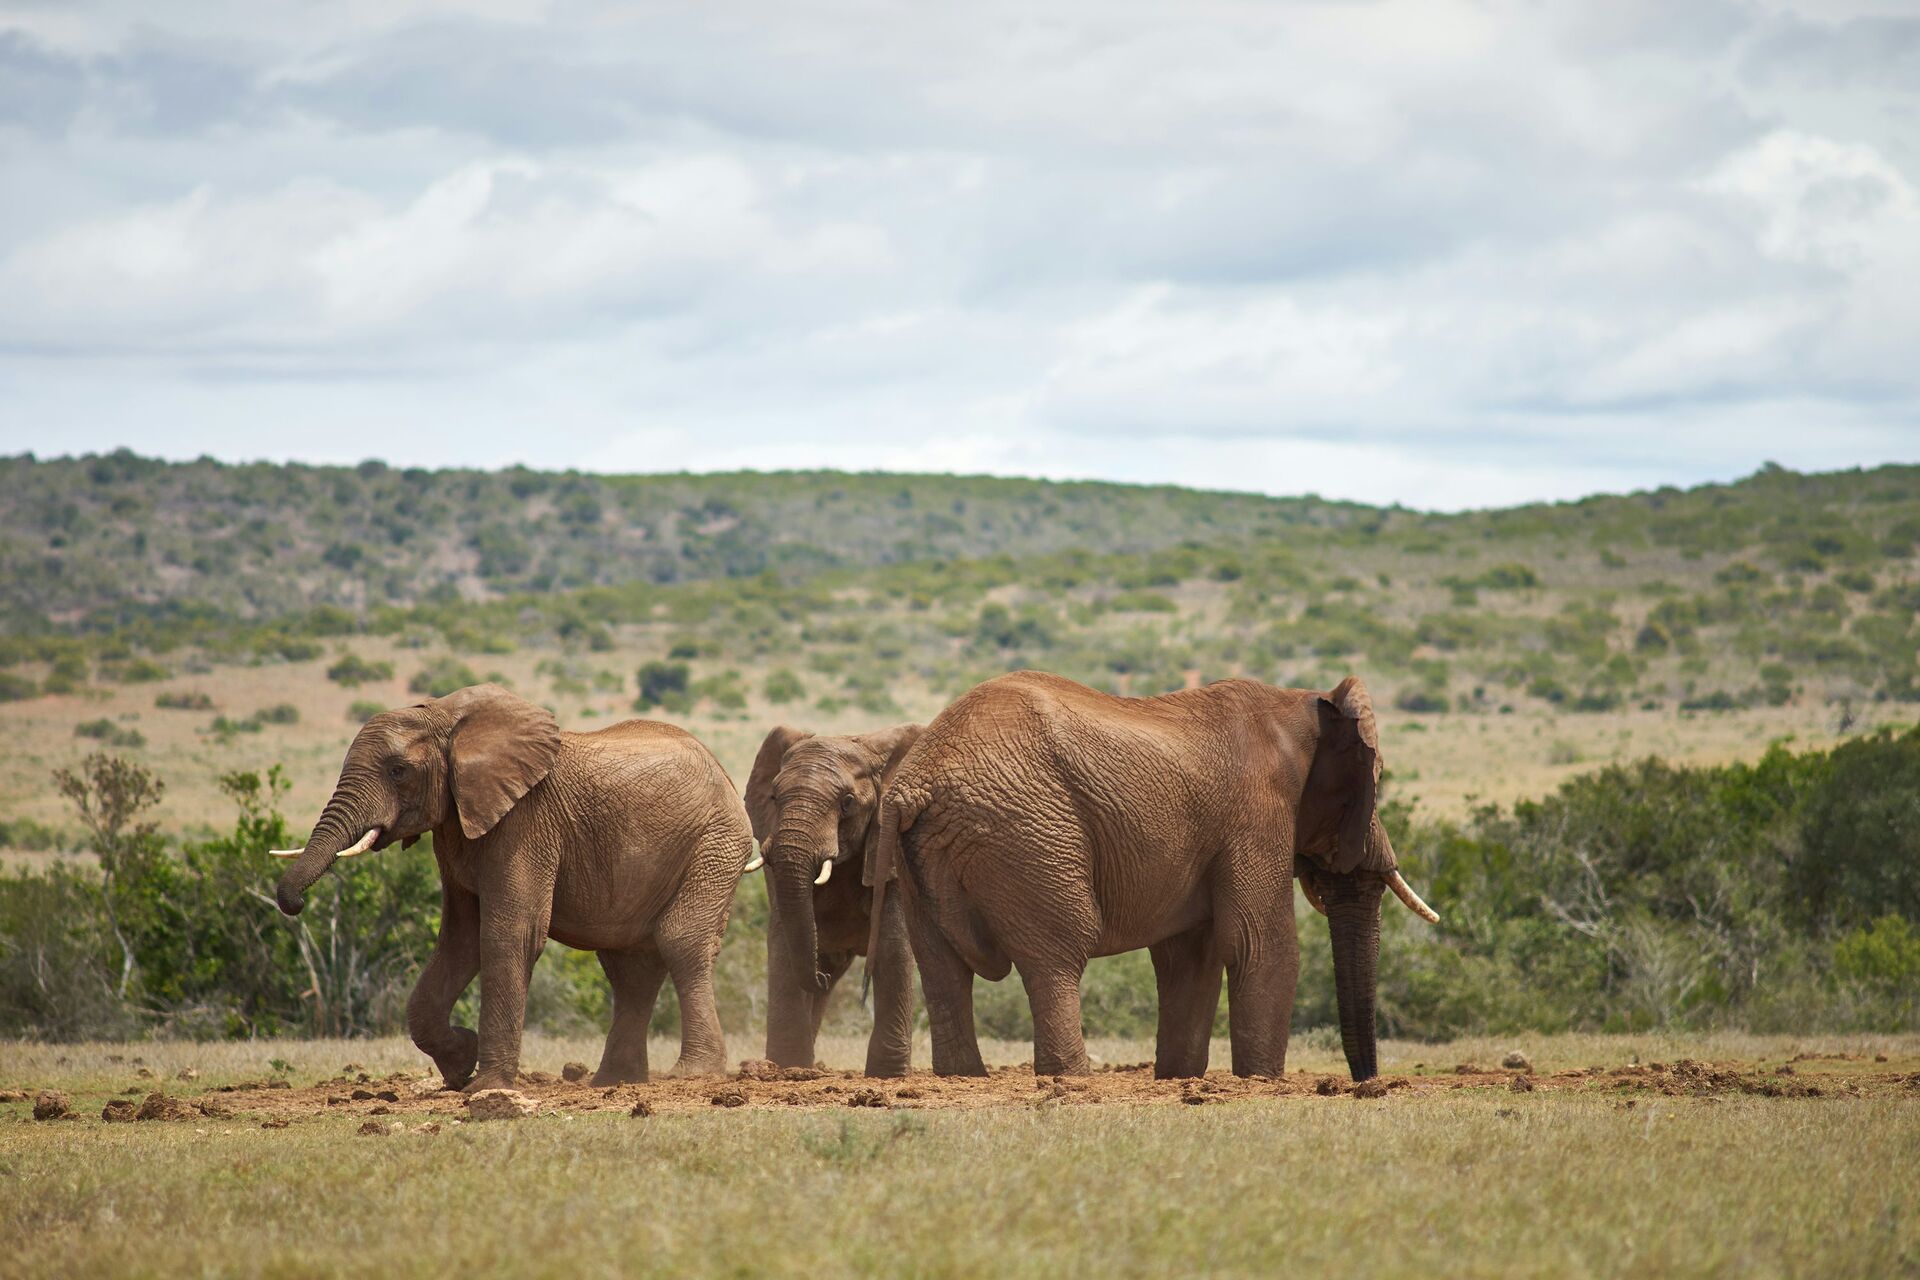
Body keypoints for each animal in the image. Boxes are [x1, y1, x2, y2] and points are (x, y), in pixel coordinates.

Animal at [270, 684, 753, 1092]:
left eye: (398, 771)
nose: (294, 903)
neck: (447, 717)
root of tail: (722, 769)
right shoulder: (457, 827)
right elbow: (459, 941)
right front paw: (460, 1066)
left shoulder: (526, 821)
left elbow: (509, 935)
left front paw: (486, 1087)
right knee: (629, 968)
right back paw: (614, 1082)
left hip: (715, 843)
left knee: (680, 941)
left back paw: (692, 1073)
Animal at [743, 723, 922, 1077]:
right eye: (774, 797)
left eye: (847, 802)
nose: (820, 977)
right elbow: (783, 937)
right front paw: (786, 1067)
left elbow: (894, 943)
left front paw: (887, 1075)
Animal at [865, 670, 1438, 1082]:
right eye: (1376, 777)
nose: (1367, 1082)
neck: (1302, 703)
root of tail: (913, 785)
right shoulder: (1257, 812)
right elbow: (1260, 944)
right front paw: (1260, 1081)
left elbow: (1190, 957)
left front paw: (1179, 1078)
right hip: (1026, 832)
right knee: (1058, 952)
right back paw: (1072, 1079)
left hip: (925, 857)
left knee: (941, 965)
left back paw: (964, 1078)